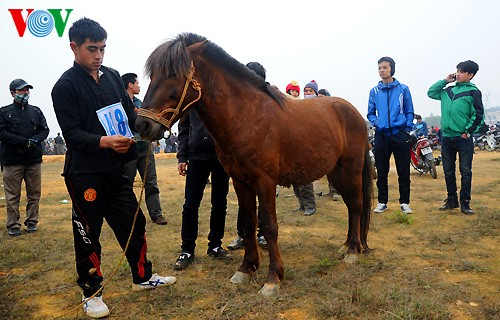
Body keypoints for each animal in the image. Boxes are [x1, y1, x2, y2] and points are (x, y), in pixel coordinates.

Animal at [135, 33, 374, 296]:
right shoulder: (240, 181)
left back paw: (352, 251)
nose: (142, 125)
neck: (246, 116)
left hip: (351, 168)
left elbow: (268, 226)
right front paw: (246, 269)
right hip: (336, 172)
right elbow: (249, 223)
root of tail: (355, 113)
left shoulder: (265, 181)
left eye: (173, 74)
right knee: (351, 205)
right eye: (153, 75)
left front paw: (273, 278)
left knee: (357, 204)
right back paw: (347, 245)